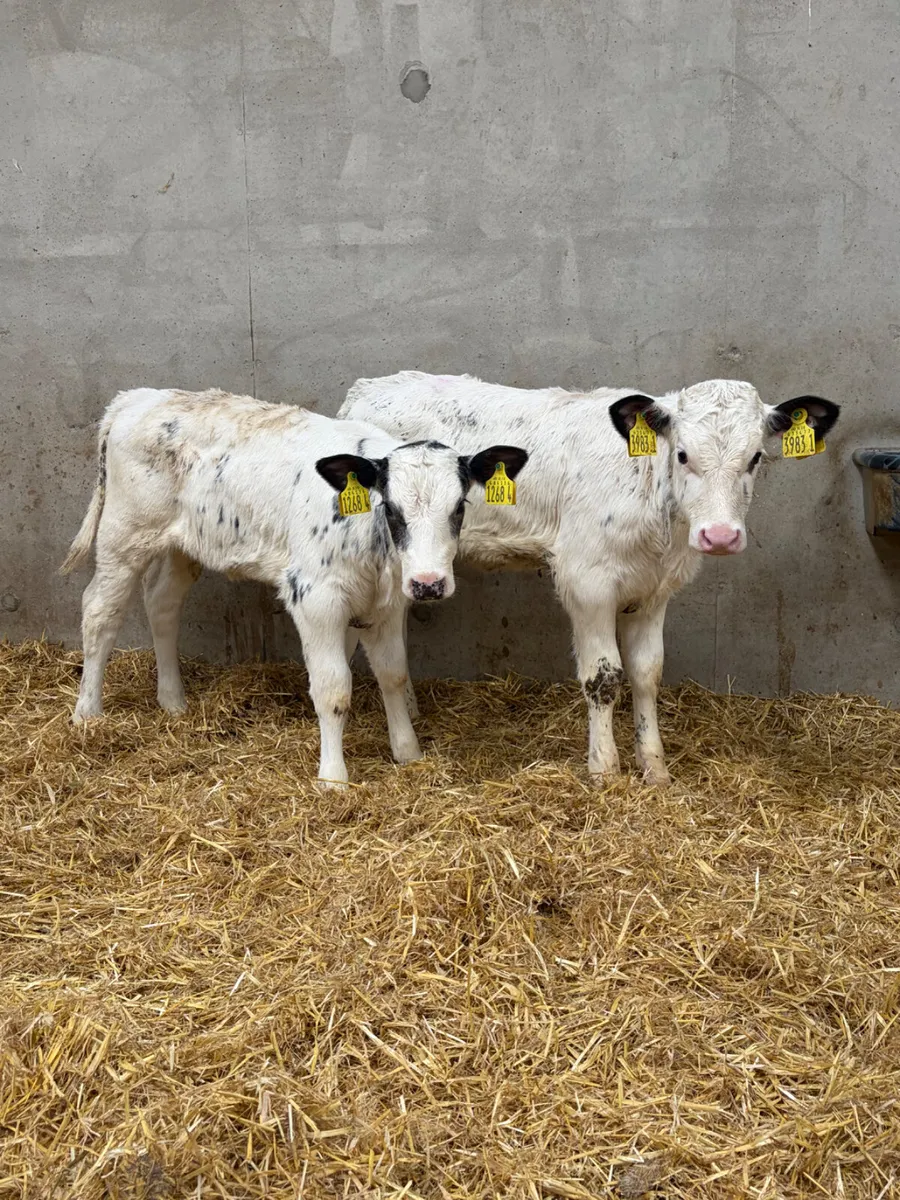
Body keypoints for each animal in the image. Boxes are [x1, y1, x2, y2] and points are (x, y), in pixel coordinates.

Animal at [60, 387, 528, 786]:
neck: (374, 547)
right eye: (392, 508)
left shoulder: (388, 603)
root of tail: (138, 396)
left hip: (182, 544)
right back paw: (88, 714)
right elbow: (333, 688)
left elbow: (393, 674)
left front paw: (408, 753)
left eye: (460, 506)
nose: (429, 584)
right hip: (124, 535)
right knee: (100, 612)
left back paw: (173, 701)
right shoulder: (316, 598)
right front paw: (333, 779)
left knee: (162, 605)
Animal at [339, 373, 840, 785]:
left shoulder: (655, 591)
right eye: (682, 455)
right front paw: (604, 768)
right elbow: (604, 676)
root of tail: (367, 388)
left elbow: (647, 672)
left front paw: (654, 767)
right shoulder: (587, 581)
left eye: (755, 458)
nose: (720, 536)